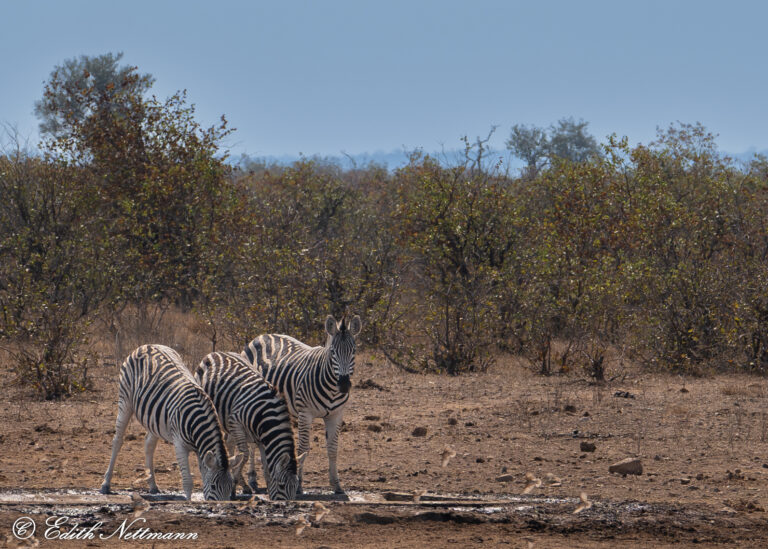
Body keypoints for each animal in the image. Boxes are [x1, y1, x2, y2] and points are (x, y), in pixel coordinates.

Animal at [100, 344, 242, 498]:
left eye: (231, 487)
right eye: (213, 486)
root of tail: (147, 345)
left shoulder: (201, 450)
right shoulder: (179, 445)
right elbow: (187, 482)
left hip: (154, 418)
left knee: (149, 444)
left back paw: (153, 486)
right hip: (125, 400)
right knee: (117, 441)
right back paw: (105, 484)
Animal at [194, 352, 304, 500]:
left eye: (296, 485)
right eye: (282, 485)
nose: (287, 504)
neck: (265, 413)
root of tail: (215, 353)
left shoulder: (262, 438)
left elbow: (266, 466)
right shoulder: (235, 422)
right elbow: (244, 455)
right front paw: (233, 485)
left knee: (229, 443)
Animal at [242, 312, 362, 492]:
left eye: (353, 351)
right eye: (333, 352)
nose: (344, 385)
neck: (332, 390)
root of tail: (261, 335)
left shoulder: (336, 415)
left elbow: (333, 449)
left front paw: (336, 484)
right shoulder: (305, 413)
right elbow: (303, 448)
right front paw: (298, 485)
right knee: (251, 443)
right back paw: (252, 479)